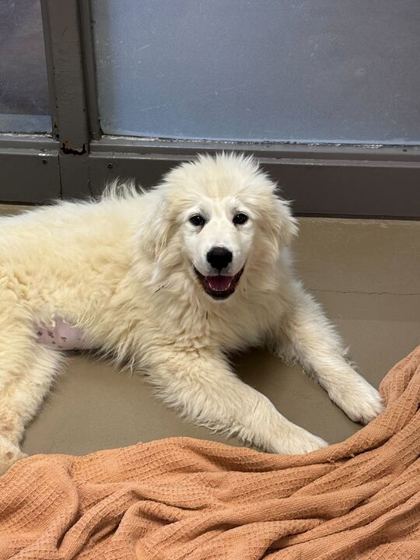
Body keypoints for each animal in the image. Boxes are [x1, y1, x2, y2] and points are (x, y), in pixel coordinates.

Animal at [0, 153, 383, 472]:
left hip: (36, 359)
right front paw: (301, 444)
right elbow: (253, 401)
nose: (219, 256)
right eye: (196, 220)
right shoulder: (185, 357)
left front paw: (360, 395)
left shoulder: (285, 304)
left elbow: (322, 352)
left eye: (240, 218)